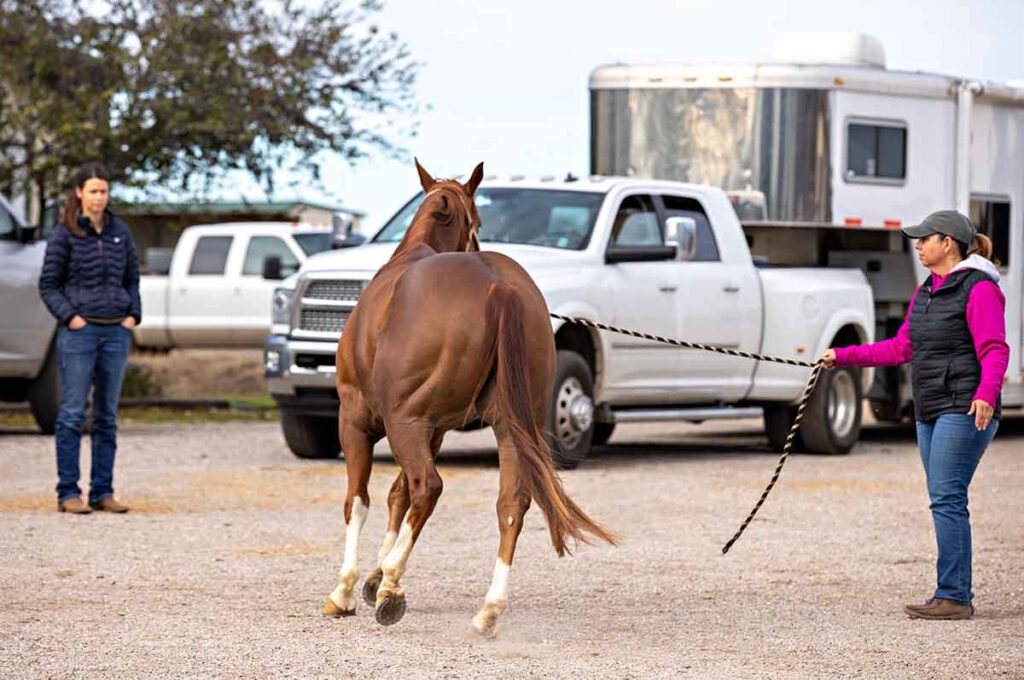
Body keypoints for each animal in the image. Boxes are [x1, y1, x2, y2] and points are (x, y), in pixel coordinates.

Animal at [323, 159, 614, 639]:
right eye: (478, 221)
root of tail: (499, 287)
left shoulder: (358, 421)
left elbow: (360, 500)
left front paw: (350, 588)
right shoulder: (435, 431)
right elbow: (397, 494)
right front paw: (375, 576)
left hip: (404, 424)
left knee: (429, 487)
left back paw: (393, 589)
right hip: (511, 427)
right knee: (511, 504)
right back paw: (488, 610)